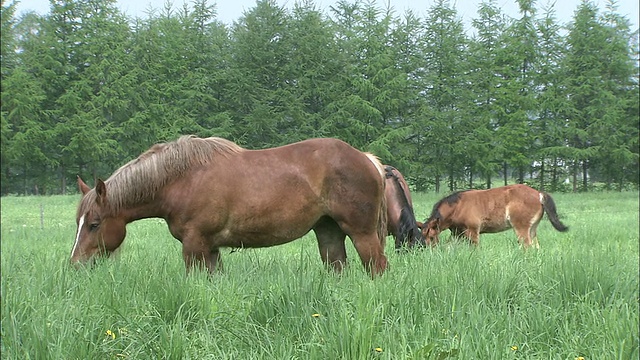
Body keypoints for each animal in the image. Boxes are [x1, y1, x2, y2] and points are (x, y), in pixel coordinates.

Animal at [72, 136, 388, 278]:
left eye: (94, 224)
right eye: (79, 222)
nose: (75, 264)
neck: (182, 180)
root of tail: (366, 158)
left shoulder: (194, 246)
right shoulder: (210, 249)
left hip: (362, 234)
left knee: (378, 267)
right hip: (328, 232)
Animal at [422, 184, 568, 249]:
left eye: (432, 237)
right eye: (423, 237)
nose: (428, 250)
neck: (458, 206)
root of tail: (538, 194)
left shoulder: (473, 231)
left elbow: (475, 249)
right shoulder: (457, 233)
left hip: (521, 228)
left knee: (527, 246)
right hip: (532, 229)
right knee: (536, 247)